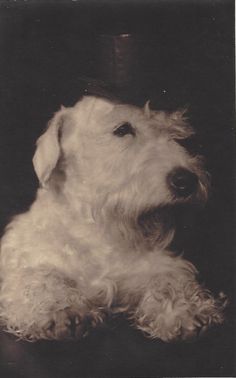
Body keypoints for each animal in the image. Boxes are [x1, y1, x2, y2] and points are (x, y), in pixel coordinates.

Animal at [0, 94, 226, 340]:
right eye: (123, 129)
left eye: (173, 132)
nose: (186, 181)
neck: (99, 230)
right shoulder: (29, 268)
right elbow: (44, 279)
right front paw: (63, 311)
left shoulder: (157, 267)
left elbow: (167, 282)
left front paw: (187, 311)